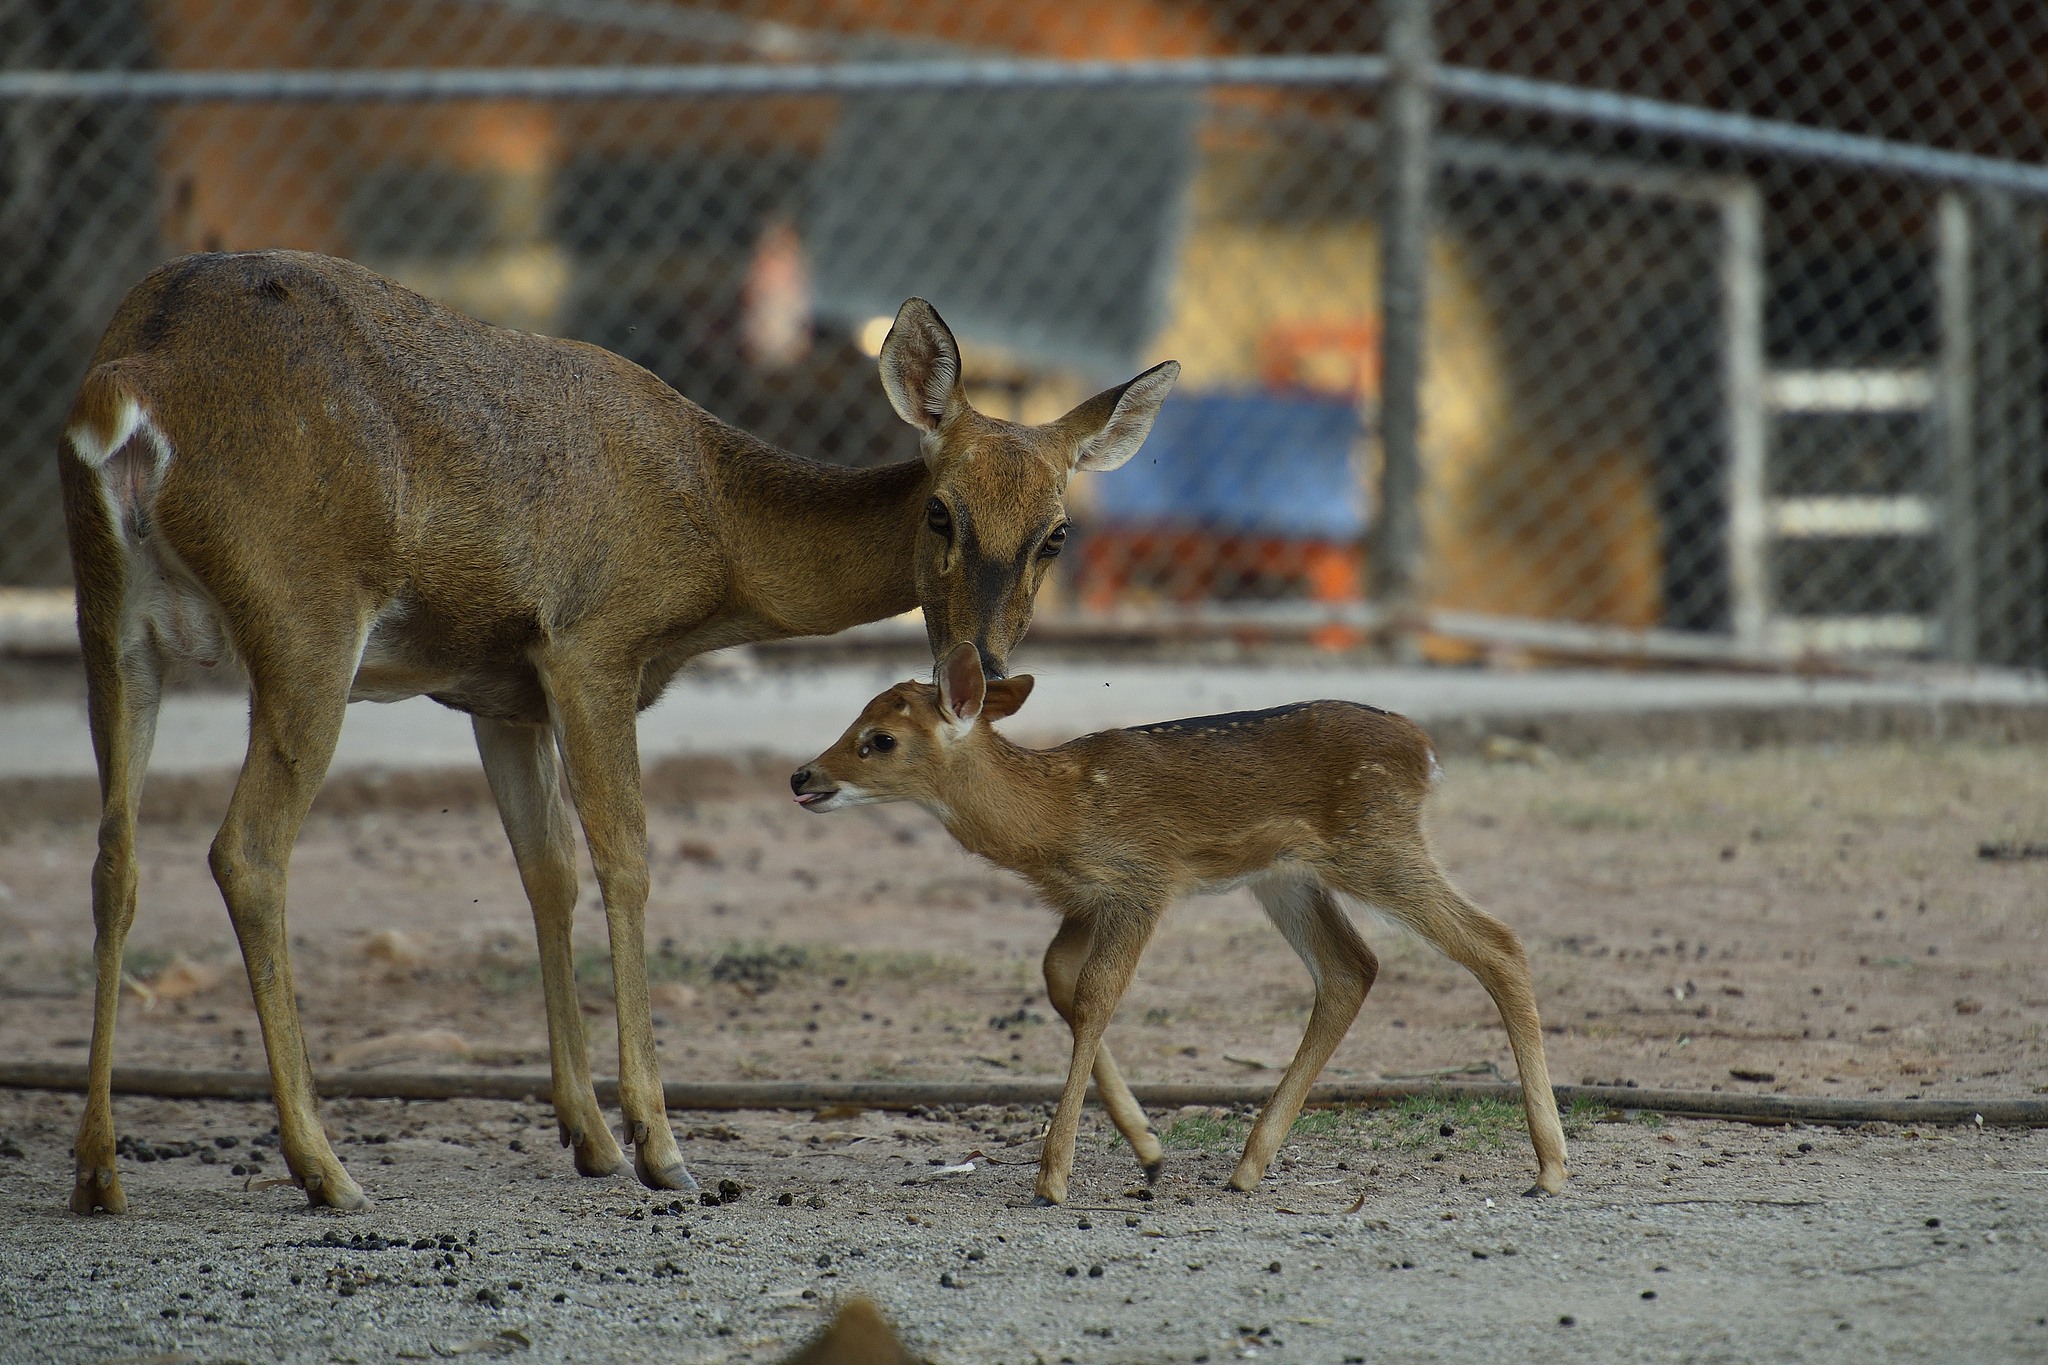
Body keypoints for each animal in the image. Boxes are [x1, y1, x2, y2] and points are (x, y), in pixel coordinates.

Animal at [57, 248, 1179, 1215]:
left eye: (1057, 534)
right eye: (940, 513)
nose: (977, 669)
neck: (718, 536)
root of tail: (133, 380)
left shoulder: (498, 689)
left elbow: (545, 869)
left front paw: (590, 1138)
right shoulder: (593, 641)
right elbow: (627, 859)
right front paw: (659, 1146)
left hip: (112, 621)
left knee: (114, 856)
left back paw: (100, 1171)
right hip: (305, 614)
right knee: (244, 850)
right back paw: (323, 1168)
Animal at [791, 644, 1569, 1205]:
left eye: (879, 738)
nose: (802, 776)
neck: (1053, 814)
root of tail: (1425, 752)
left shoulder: (1143, 880)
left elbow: (1097, 994)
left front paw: (1053, 1177)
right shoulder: (1087, 899)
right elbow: (1058, 980)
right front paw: (1149, 1148)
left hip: (1376, 843)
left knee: (1497, 943)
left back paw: (1550, 1167)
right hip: (1287, 876)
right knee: (1352, 967)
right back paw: (1248, 1166)